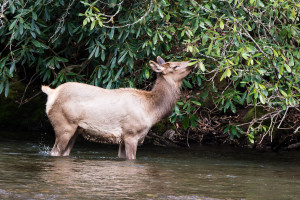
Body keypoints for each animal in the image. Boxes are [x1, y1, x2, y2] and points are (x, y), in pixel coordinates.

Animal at [41, 56, 192, 159]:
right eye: (175, 66)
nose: (192, 63)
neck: (151, 111)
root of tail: (52, 93)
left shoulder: (123, 137)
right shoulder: (132, 133)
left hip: (76, 129)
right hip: (64, 124)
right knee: (55, 151)